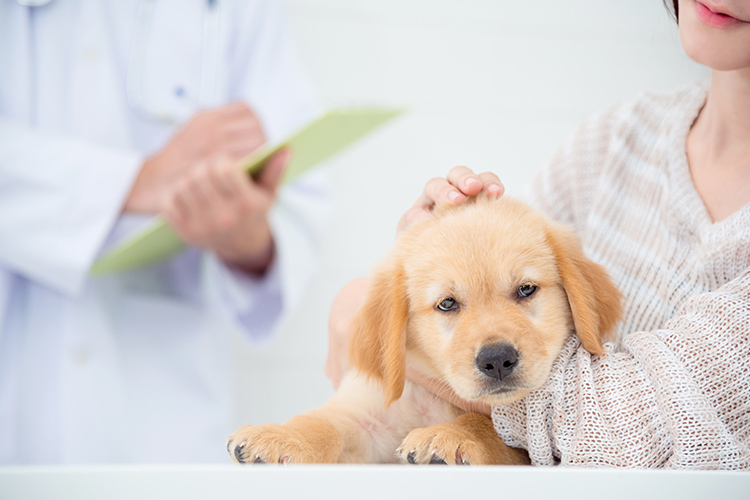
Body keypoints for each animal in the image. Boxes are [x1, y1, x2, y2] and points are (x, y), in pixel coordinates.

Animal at [228, 195, 624, 464]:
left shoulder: (529, 452)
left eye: (526, 290)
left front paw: (447, 437)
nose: (497, 360)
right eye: (447, 304)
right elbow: (325, 423)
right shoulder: (370, 412)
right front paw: (281, 436)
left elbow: (486, 426)